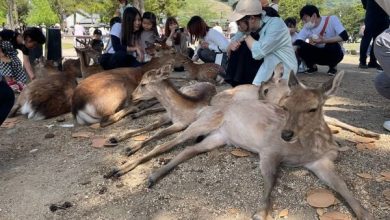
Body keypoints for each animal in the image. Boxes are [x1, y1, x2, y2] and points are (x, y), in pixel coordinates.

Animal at [105, 72, 374, 220]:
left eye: (313, 108)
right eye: (285, 106)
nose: (286, 134)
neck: (305, 149)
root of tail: (206, 107)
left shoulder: (321, 162)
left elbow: (344, 187)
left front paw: (365, 213)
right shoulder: (269, 150)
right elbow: (270, 180)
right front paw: (260, 213)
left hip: (218, 138)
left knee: (188, 149)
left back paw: (153, 175)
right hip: (202, 125)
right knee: (169, 143)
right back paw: (120, 167)